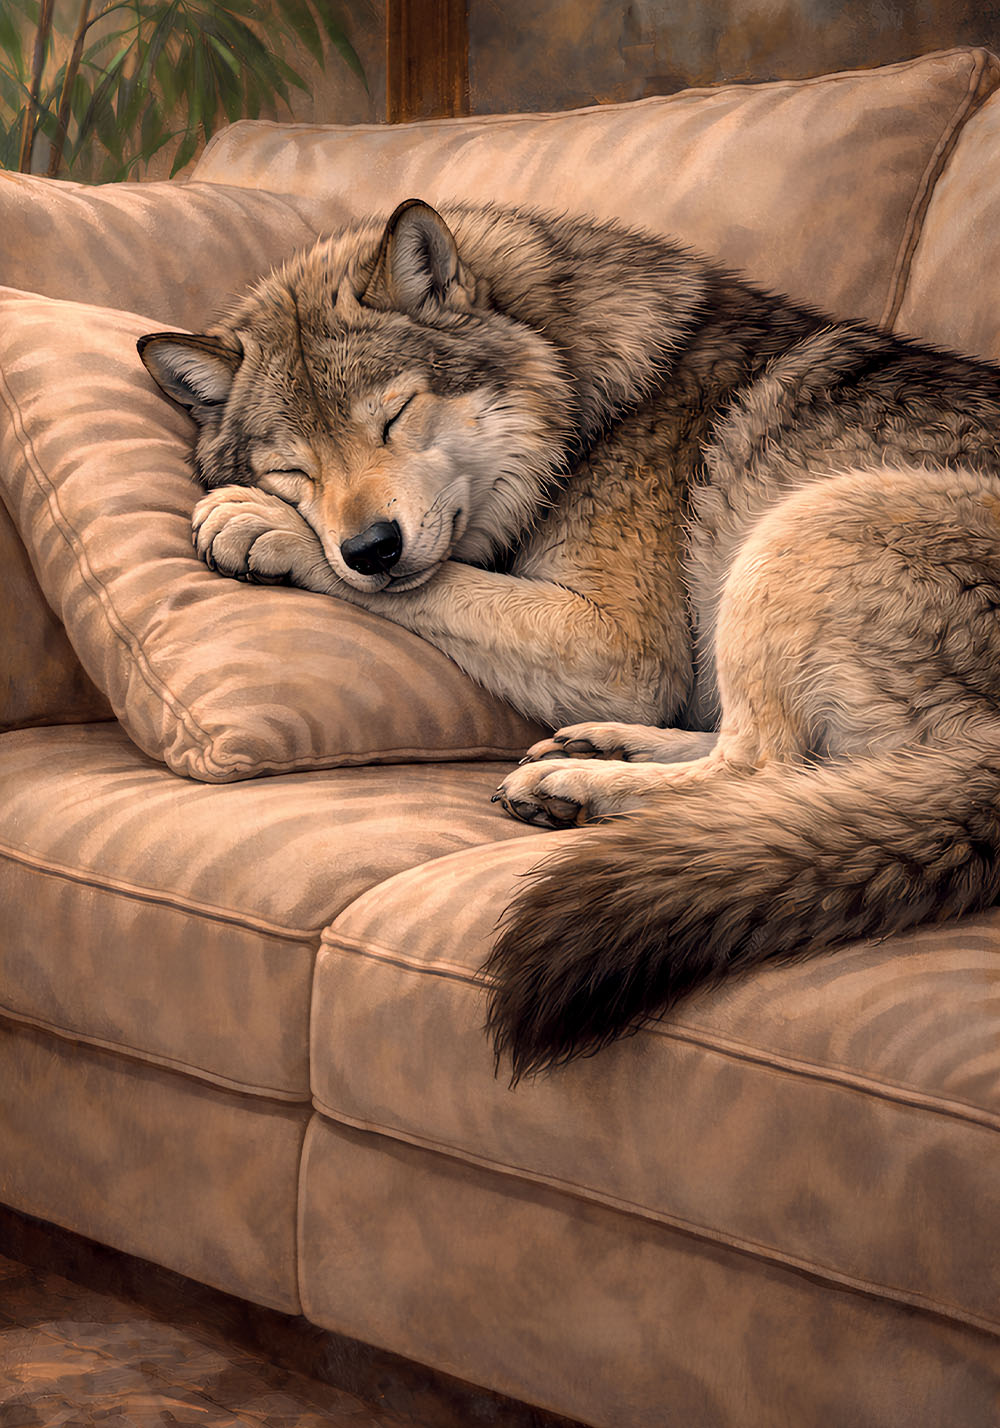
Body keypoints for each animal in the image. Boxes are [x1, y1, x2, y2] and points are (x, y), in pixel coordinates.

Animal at [139, 197, 1000, 1080]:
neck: (579, 389)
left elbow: (445, 580)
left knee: (763, 769)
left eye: (395, 417)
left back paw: (577, 786)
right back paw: (601, 750)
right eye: (294, 470)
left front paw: (265, 529)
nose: (371, 548)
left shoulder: (618, 648)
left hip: (808, 520)